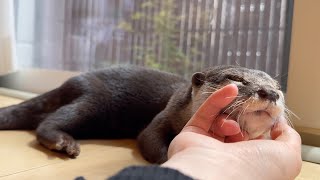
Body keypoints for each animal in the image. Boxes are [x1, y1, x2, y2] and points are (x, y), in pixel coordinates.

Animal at [0, 64, 284, 163]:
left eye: (277, 86)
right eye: (237, 79)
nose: (270, 92)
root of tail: (72, 81)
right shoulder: (164, 116)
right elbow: (149, 139)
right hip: (93, 101)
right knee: (50, 121)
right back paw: (63, 142)